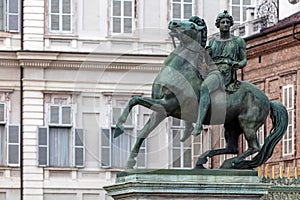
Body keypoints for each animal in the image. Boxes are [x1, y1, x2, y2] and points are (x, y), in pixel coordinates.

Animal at [113, 16, 288, 169]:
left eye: (191, 25)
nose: (173, 23)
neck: (179, 70)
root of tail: (267, 100)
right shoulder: (161, 110)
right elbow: (142, 128)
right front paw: (129, 160)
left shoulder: (167, 105)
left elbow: (134, 100)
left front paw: (118, 127)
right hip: (231, 125)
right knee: (233, 148)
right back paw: (206, 159)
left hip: (247, 124)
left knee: (254, 147)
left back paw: (231, 162)